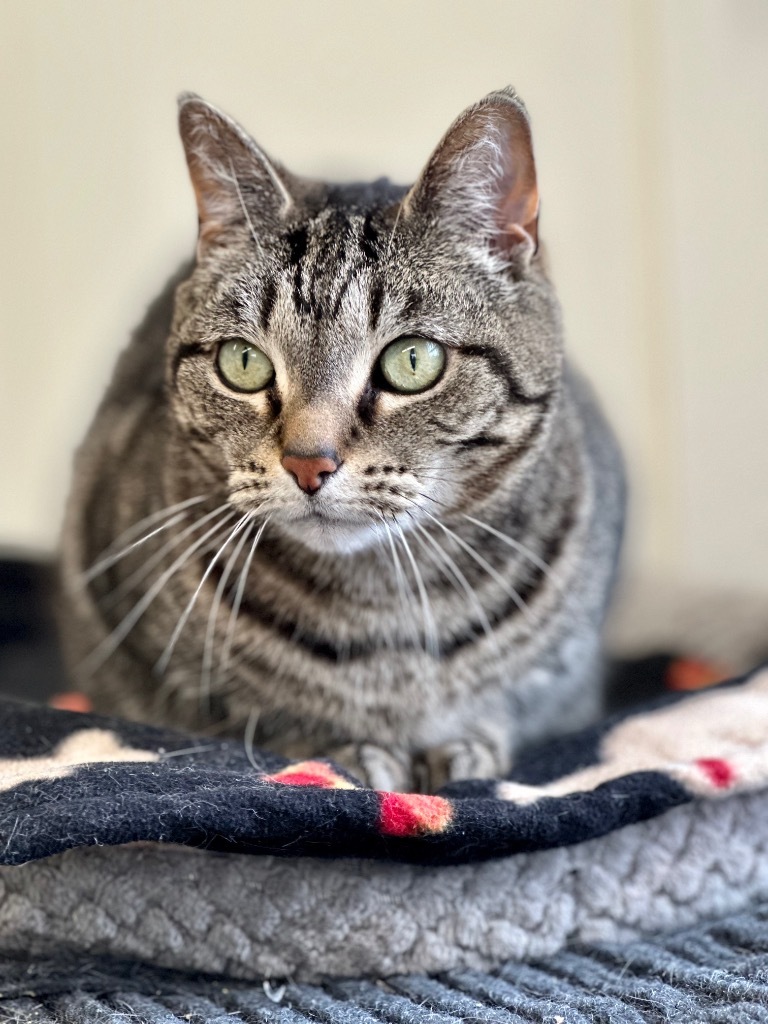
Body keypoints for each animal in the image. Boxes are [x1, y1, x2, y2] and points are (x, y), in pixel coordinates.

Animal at [60, 88, 626, 790]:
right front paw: (354, 750)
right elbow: (255, 718)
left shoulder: (568, 681)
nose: (308, 463)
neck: (383, 614)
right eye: (242, 362)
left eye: (412, 361)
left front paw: (464, 748)